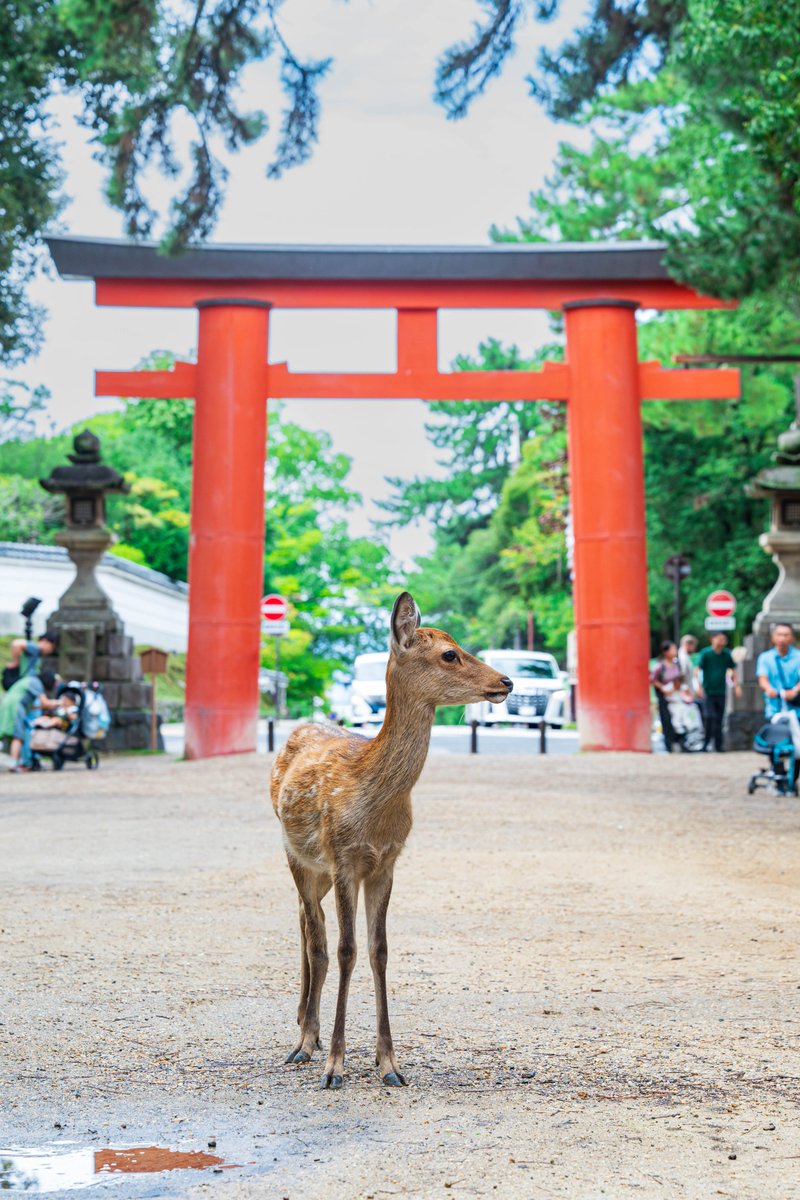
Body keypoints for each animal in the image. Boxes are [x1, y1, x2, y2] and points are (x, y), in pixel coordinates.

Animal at [269, 591, 513, 1089]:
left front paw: (390, 1065)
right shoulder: (344, 856)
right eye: (450, 654)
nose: (507, 681)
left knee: (306, 922)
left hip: (318, 869)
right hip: (296, 854)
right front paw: (336, 1066)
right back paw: (304, 1042)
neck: (374, 803)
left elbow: (379, 950)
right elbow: (346, 950)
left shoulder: (386, 862)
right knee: (315, 936)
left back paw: (306, 1026)